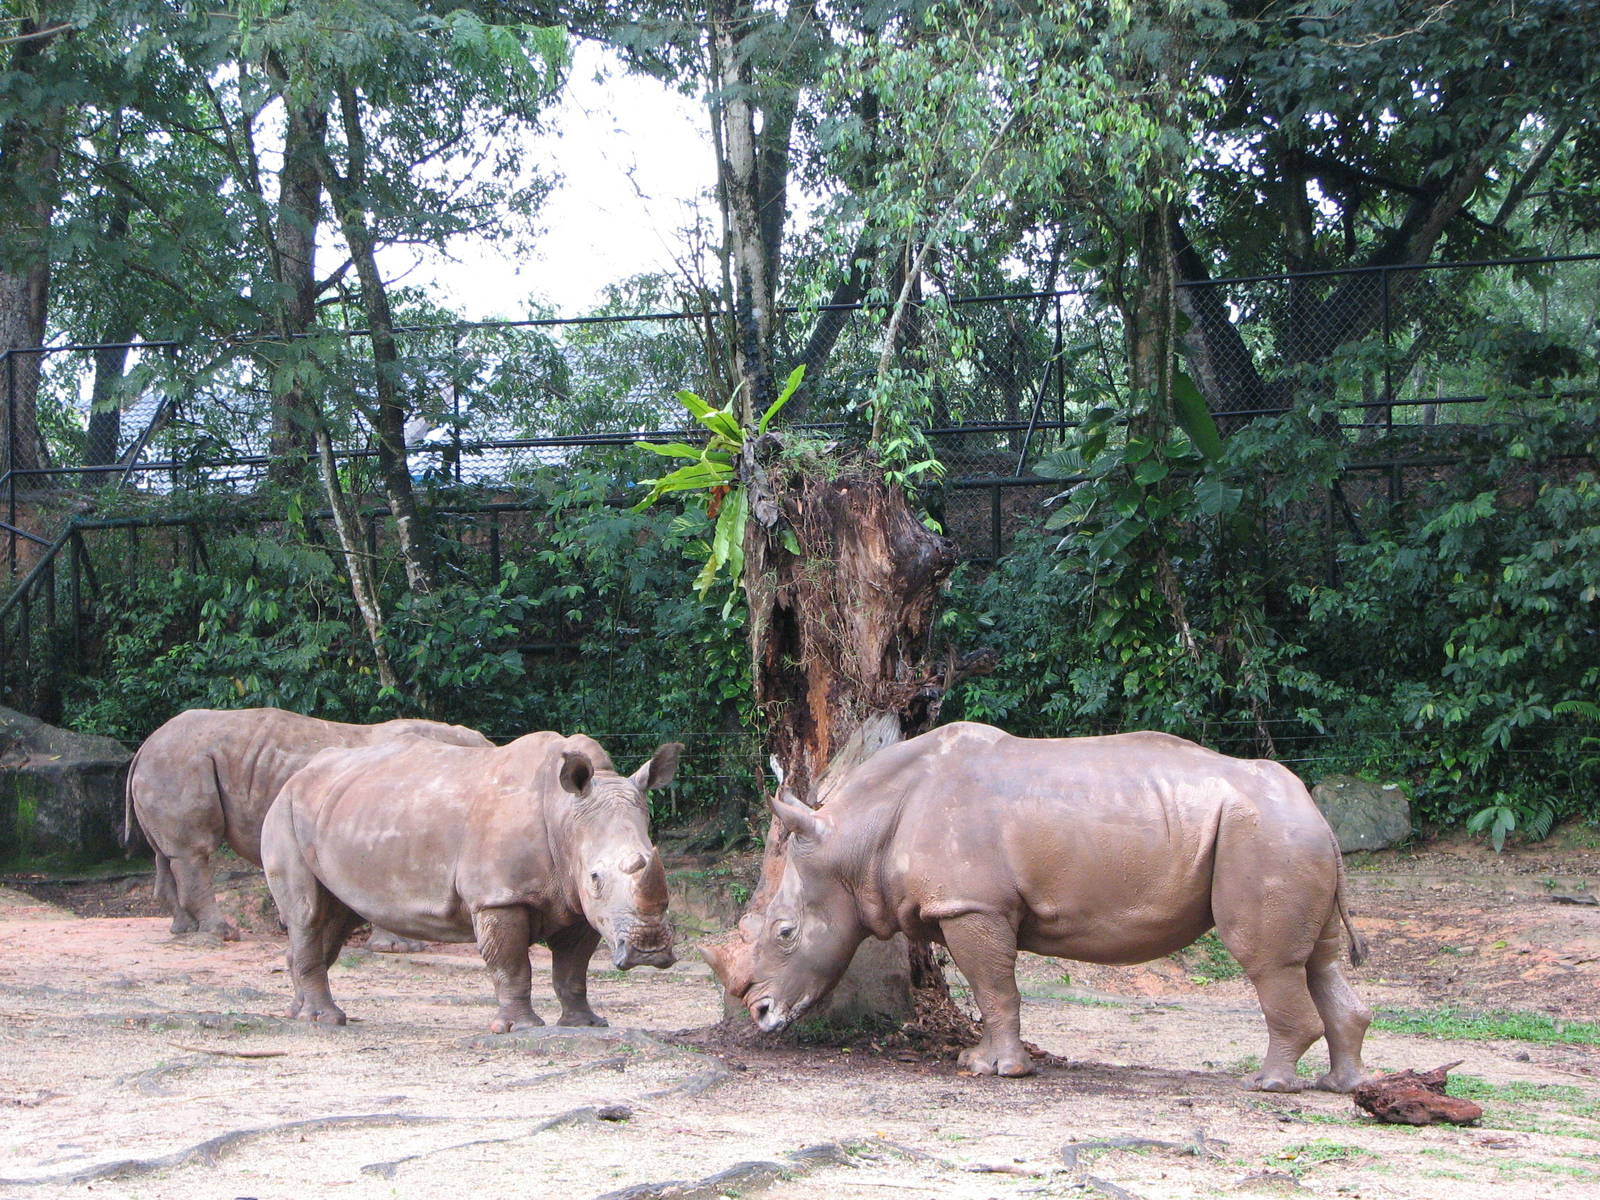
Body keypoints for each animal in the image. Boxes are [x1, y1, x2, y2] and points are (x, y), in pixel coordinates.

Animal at [125, 707, 492, 946]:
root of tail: (145, 745)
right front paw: (397, 947)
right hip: (180, 762)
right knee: (194, 851)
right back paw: (221, 934)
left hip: (169, 764)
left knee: (166, 853)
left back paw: (183, 929)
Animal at [261, 732, 681, 1030]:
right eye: (596, 877)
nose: (649, 951)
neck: (566, 816)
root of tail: (299, 773)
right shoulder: (499, 897)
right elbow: (512, 964)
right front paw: (520, 1028)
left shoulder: (577, 902)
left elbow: (573, 969)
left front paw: (585, 1025)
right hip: (285, 810)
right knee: (307, 914)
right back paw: (325, 1020)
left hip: (336, 810)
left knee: (336, 916)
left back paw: (297, 1012)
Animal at [707, 722, 1372, 1093]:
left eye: (785, 933)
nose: (760, 1013)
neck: (854, 839)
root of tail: (1314, 808)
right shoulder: (968, 903)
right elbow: (992, 989)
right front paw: (978, 1062)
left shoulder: (972, 905)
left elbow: (994, 987)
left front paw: (996, 1072)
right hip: (1289, 833)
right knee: (1320, 961)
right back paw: (1340, 1086)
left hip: (1264, 834)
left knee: (1268, 961)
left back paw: (1268, 1085)